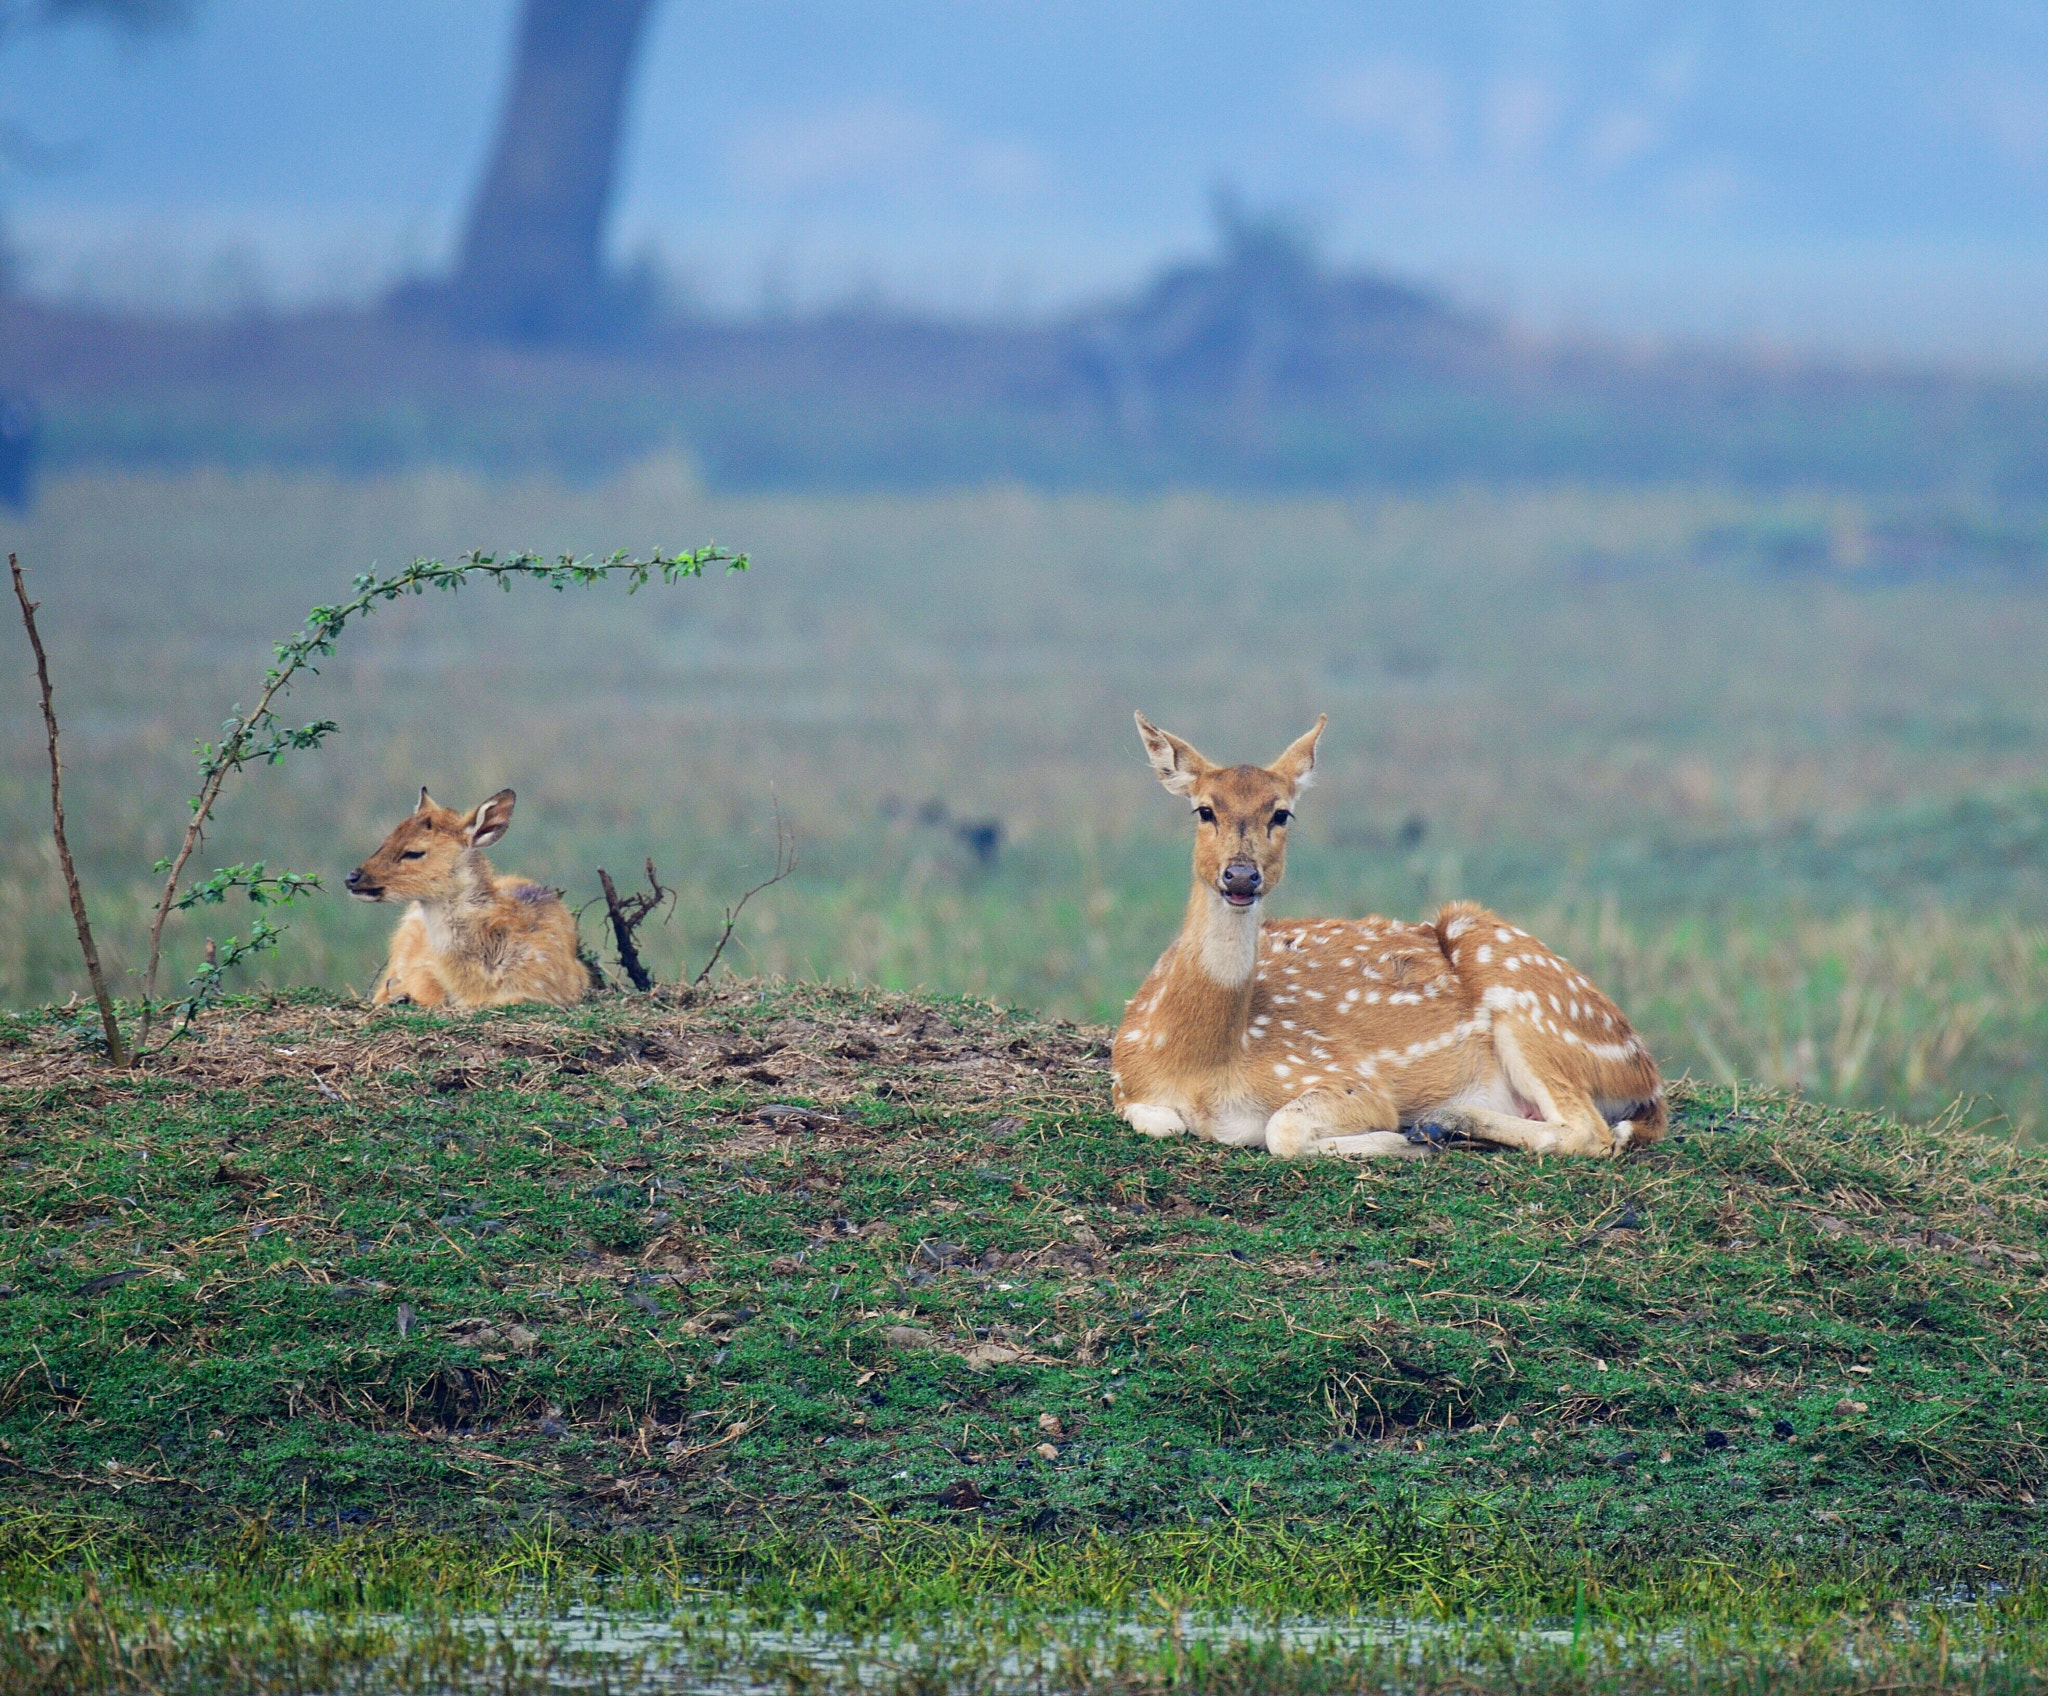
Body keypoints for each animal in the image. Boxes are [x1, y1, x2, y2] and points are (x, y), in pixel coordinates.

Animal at [1122, 708, 1662, 1163]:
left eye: (1281, 813)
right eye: (1203, 810)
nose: (1240, 876)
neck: (1199, 1067)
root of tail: (1646, 1073)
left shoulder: (1348, 1078)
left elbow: (1283, 1130)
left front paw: (1396, 1138)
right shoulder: (1127, 1087)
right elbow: (1160, 1121)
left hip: (1528, 1001)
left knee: (1589, 1131)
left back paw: (1435, 1124)